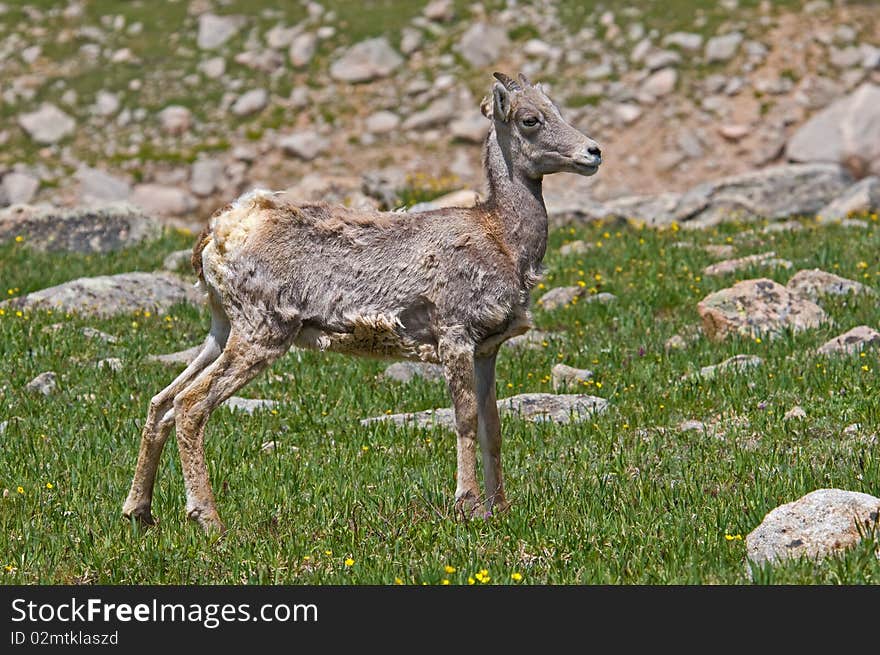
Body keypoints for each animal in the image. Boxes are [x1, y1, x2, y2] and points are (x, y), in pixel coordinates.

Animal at [124, 73, 600, 532]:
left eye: (556, 108)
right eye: (530, 119)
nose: (593, 152)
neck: (503, 239)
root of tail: (218, 233)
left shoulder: (487, 351)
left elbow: (492, 426)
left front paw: (499, 509)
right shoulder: (455, 338)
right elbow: (465, 419)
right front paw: (467, 507)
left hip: (221, 333)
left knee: (162, 402)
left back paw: (140, 513)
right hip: (260, 336)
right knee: (189, 406)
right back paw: (209, 521)